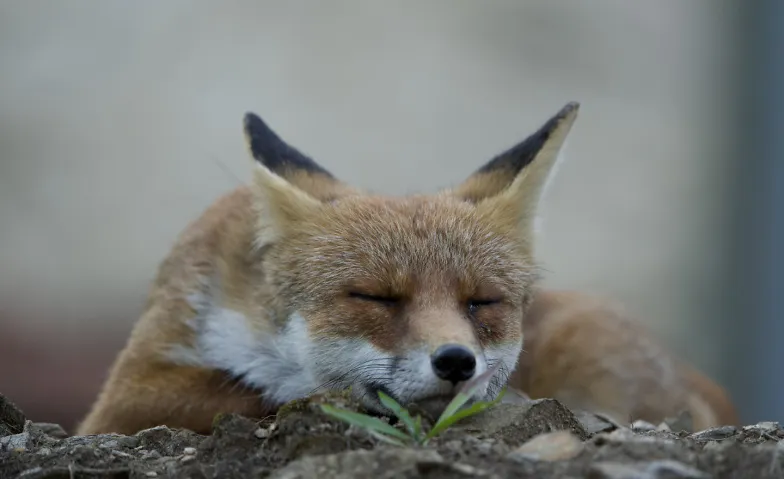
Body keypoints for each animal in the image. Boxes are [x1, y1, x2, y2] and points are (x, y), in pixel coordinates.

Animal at [77, 102, 738, 436]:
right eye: (375, 297)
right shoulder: (125, 393)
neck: (253, 324)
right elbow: (250, 389)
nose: (456, 361)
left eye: (481, 302)